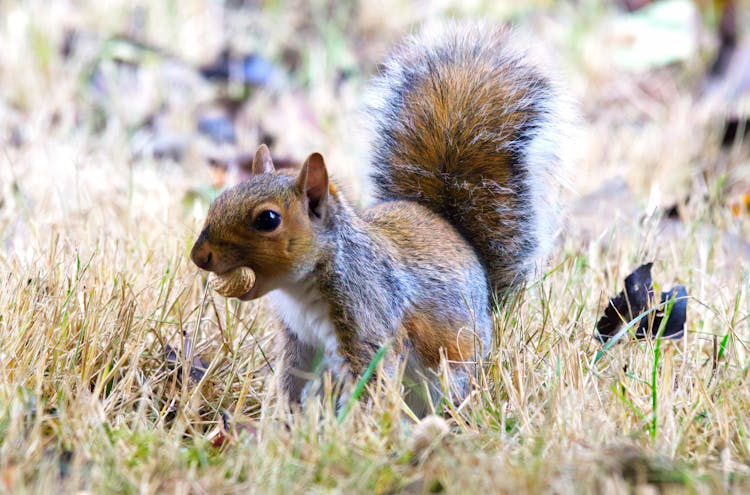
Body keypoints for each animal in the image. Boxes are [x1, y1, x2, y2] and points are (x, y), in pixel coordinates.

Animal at [191, 21, 572, 414]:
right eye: (221, 198)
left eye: (268, 219)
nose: (199, 257)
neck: (300, 287)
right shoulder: (300, 339)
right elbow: (293, 378)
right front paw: (284, 418)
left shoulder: (369, 319)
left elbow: (370, 380)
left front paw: (353, 422)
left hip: (451, 372)